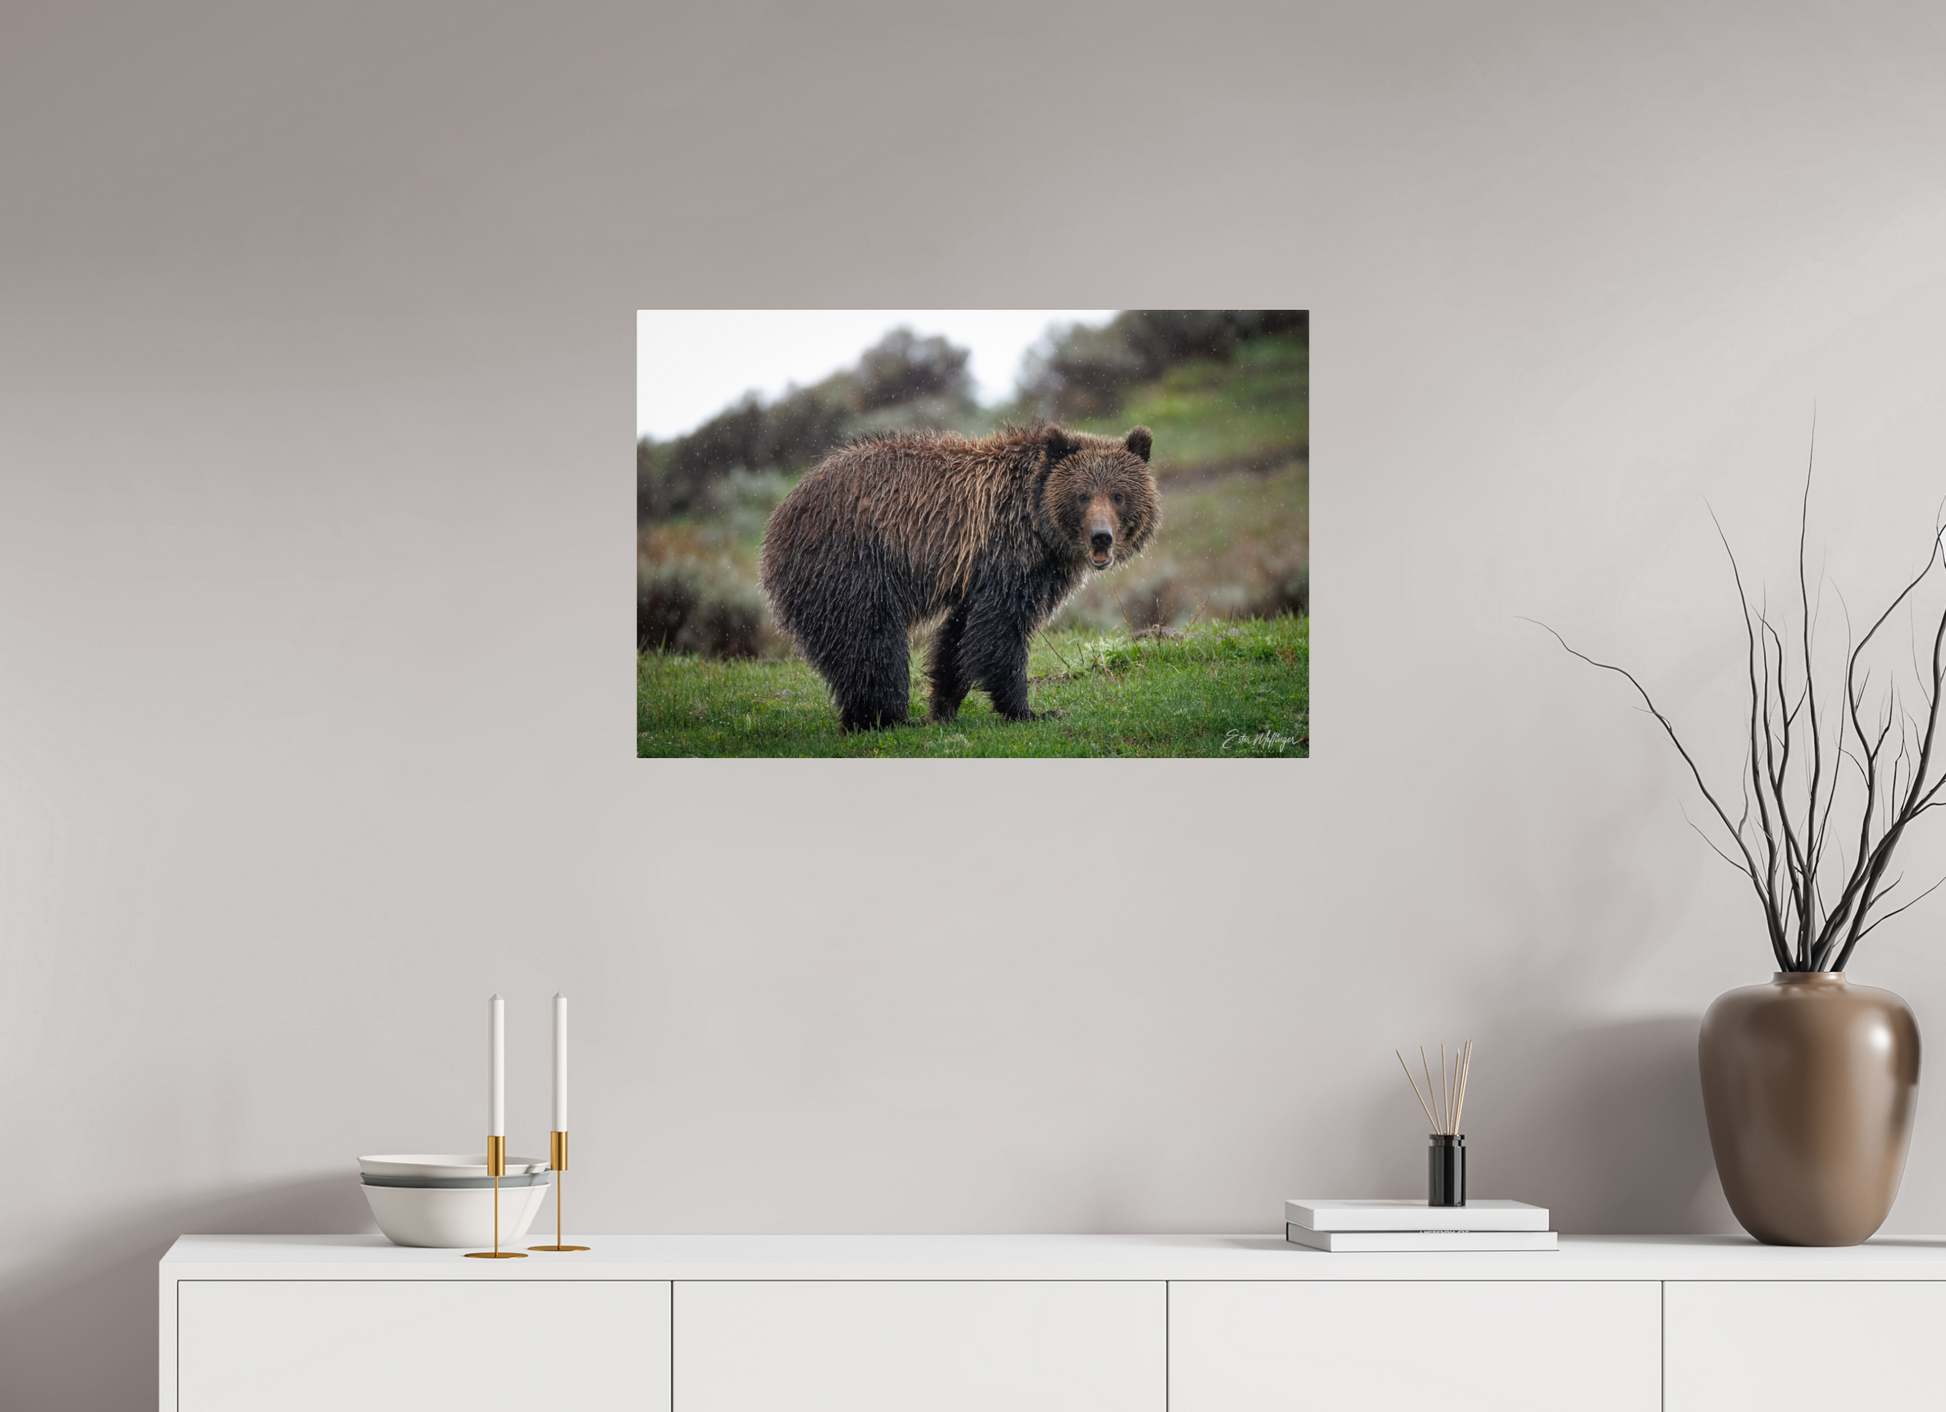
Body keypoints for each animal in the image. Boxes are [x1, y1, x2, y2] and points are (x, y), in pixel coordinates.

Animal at [760, 424, 1162, 731]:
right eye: (1082, 495)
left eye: (1119, 495)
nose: (1101, 537)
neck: (1040, 527)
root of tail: (780, 515)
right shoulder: (1007, 557)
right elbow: (999, 633)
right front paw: (1029, 710)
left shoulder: (981, 575)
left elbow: (958, 637)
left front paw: (944, 706)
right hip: (852, 565)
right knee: (871, 643)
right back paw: (886, 718)